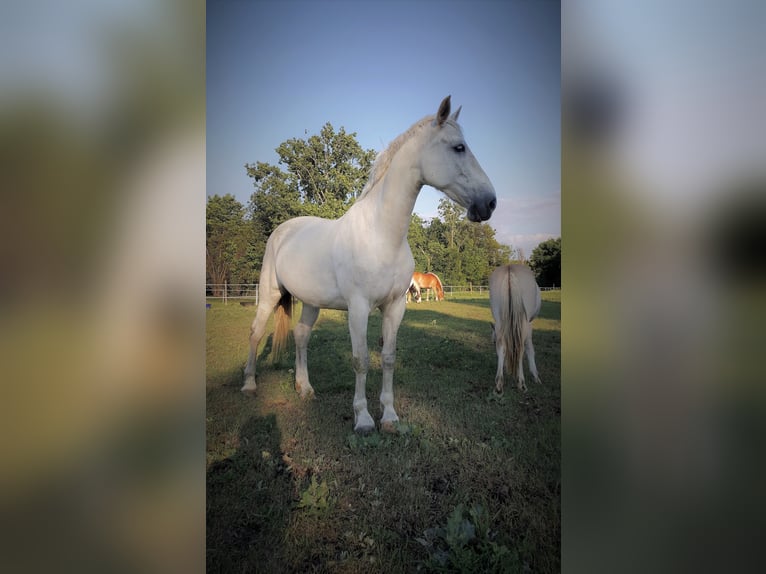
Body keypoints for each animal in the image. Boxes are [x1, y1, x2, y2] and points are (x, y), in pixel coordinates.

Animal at [243, 97, 500, 434]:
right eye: (459, 147)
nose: (490, 203)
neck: (381, 235)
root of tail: (283, 230)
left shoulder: (395, 306)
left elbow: (388, 357)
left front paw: (389, 416)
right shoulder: (358, 308)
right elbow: (361, 360)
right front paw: (363, 419)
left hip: (311, 302)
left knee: (301, 336)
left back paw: (305, 388)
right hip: (269, 294)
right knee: (256, 332)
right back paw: (249, 384)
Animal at [488, 266, 544, 394]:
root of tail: (509, 268)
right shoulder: (529, 324)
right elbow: (529, 348)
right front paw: (535, 376)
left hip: (500, 319)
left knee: (502, 346)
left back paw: (499, 383)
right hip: (524, 322)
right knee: (520, 347)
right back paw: (521, 383)